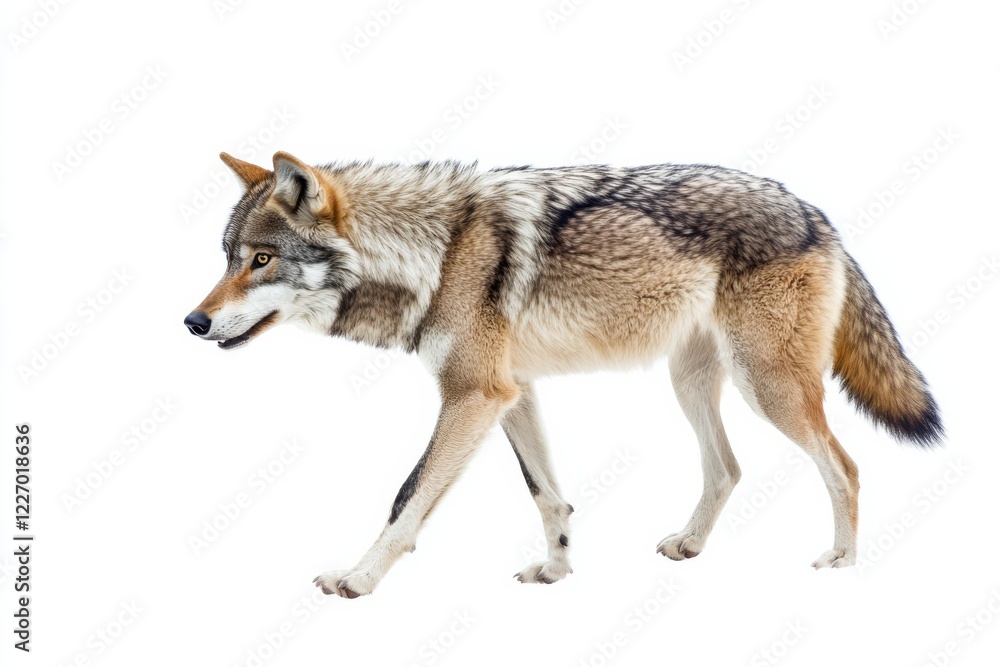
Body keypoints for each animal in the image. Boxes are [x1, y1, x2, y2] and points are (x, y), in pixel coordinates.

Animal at [184, 151, 942, 598]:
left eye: (260, 260)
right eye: (227, 258)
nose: (192, 321)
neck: (436, 252)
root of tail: (816, 212)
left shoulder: (471, 396)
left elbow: (406, 499)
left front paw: (359, 577)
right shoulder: (511, 394)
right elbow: (548, 495)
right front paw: (556, 567)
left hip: (769, 387)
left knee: (846, 465)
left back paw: (842, 561)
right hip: (693, 382)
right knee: (728, 468)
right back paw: (692, 544)